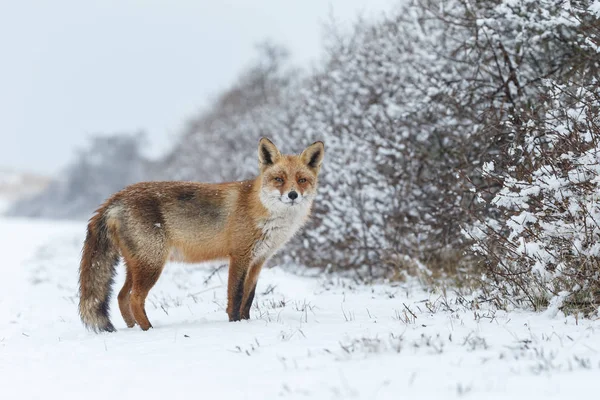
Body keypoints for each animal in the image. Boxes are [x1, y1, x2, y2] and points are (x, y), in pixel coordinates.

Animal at [79, 139, 326, 332]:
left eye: (302, 180)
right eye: (279, 179)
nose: (292, 195)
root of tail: (117, 196)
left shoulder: (258, 261)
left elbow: (249, 298)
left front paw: (247, 323)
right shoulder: (239, 256)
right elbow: (236, 296)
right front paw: (235, 324)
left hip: (138, 265)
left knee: (121, 297)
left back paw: (134, 330)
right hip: (152, 264)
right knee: (134, 299)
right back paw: (149, 330)